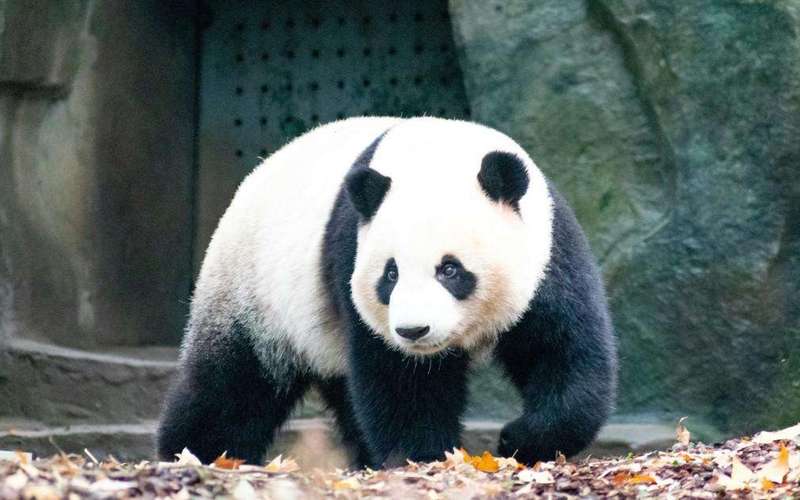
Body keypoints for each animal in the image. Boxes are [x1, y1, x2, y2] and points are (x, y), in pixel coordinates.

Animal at [157, 116, 617, 468]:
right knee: (233, 384)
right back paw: (195, 452)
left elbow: (563, 351)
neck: (436, 154)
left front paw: (519, 439)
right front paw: (426, 457)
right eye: (390, 274)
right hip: (255, 292)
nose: (414, 331)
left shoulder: (549, 253)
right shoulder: (351, 254)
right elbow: (401, 380)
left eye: (450, 269)